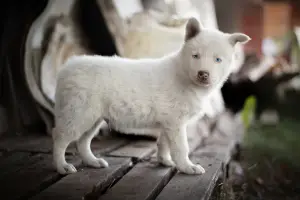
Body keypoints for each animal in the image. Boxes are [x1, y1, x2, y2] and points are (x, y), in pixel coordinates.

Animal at [52, 18, 251, 175]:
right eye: (196, 56)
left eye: (218, 60)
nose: (203, 74)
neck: (183, 75)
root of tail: (67, 67)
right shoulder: (176, 122)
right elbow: (181, 147)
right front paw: (187, 167)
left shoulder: (168, 122)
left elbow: (163, 143)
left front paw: (165, 161)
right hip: (78, 113)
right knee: (60, 138)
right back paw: (62, 166)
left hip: (93, 118)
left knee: (82, 142)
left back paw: (92, 162)